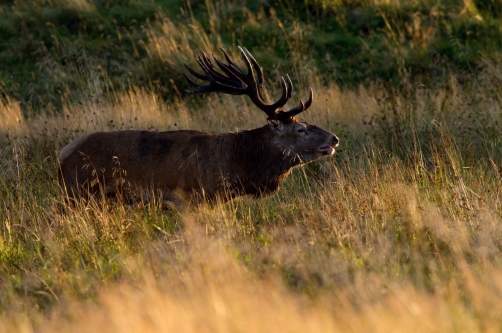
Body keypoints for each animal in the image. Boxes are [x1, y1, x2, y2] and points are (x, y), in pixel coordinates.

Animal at [59, 47, 342, 208]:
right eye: (301, 129)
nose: (334, 138)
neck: (234, 165)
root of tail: (61, 155)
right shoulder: (191, 197)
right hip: (79, 193)